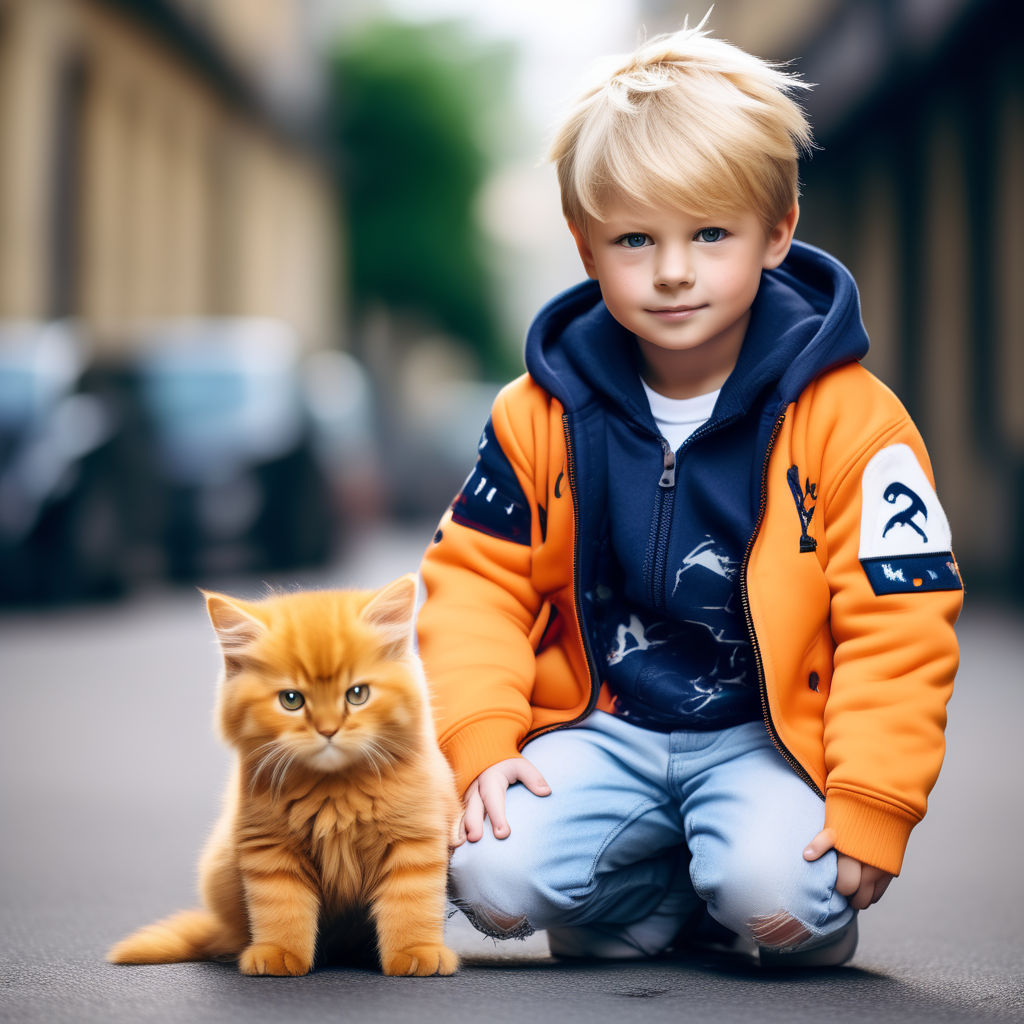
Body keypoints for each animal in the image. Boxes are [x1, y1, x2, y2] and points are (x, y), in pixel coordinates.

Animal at [107, 577, 456, 974]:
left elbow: (411, 905)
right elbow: (281, 909)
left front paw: (416, 953)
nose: (328, 729)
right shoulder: (269, 849)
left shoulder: (414, 840)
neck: (334, 790)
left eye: (357, 694)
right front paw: (278, 954)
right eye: (291, 700)